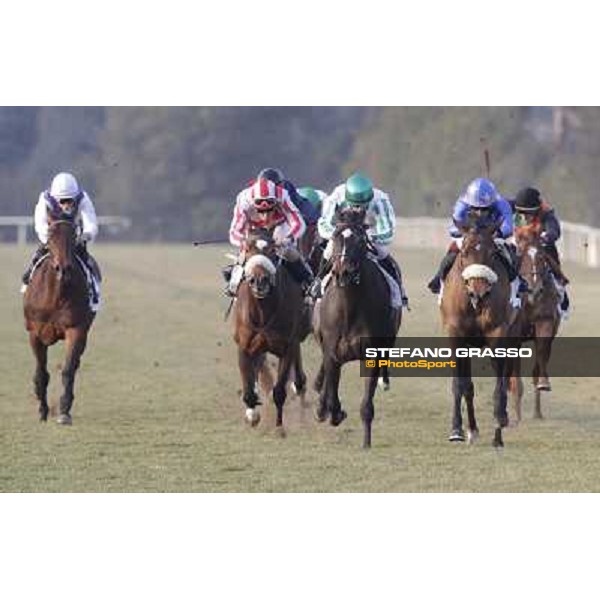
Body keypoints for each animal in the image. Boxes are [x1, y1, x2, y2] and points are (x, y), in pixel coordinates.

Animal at [23, 213, 96, 424]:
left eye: (73, 234)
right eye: (50, 234)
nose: (63, 268)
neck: (56, 294)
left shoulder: (76, 330)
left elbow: (68, 369)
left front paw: (64, 409)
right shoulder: (35, 333)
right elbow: (41, 373)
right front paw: (42, 410)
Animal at [232, 227, 312, 434]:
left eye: (272, 251)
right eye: (248, 249)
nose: (259, 280)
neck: (262, 311)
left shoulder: (287, 346)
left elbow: (280, 391)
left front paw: (279, 427)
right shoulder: (245, 346)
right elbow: (248, 388)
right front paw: (252, 415)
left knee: (299, 379)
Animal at [312, 212, 400, 450]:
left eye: (361, 241)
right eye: (335, 237)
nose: (344, 272)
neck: (349, 307)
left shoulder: (371, 355)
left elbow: (367, 404)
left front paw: (366, 442)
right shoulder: (332, 352)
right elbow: (332, 394)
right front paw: (332, 411)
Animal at [440, 224, 516, 446]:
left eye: (492, 253)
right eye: (465, 252)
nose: (478, 292)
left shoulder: (498, 332)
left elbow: (499, 383)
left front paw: (499, 421)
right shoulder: (456, 336)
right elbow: (461, 384)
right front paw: (457, 429)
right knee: (468, 386)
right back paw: (472, 429)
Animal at [510, 225, 564, 422]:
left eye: (541, 256)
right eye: (521, 255)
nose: (534, 288)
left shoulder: (545, 322)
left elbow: (541, 352)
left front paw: (543, 383)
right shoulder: (513, 334)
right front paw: (517, 415)